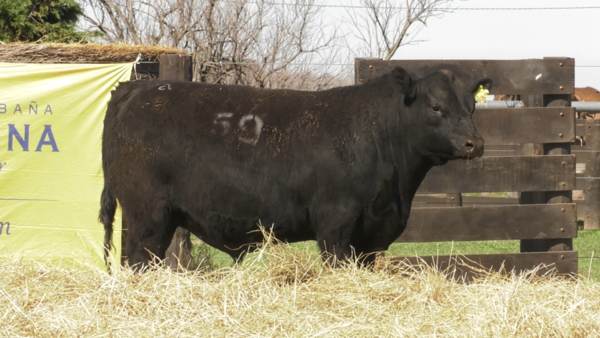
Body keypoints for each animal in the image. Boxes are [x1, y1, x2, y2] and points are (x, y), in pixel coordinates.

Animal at [98, 67, 492, 270]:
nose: (475, 144)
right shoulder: (335, 224)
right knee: (138, 258)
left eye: (472, 106)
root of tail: (138, 88)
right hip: (147, 215)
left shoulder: (374, 234)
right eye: (436, 106)